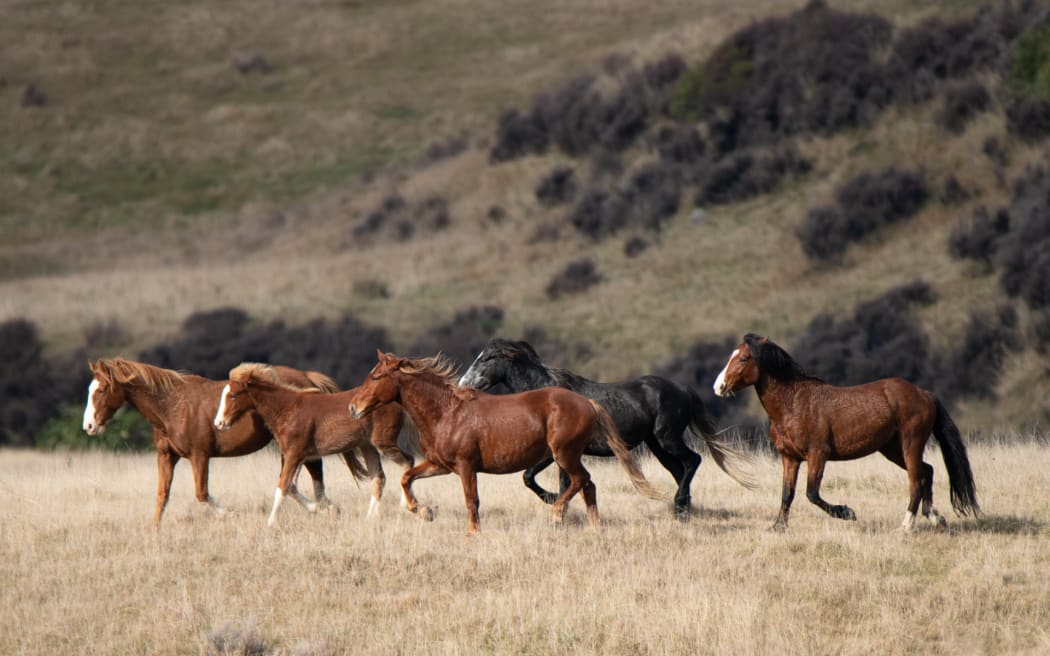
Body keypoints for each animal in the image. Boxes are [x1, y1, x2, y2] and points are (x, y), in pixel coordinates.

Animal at [82, 358, 340, 525]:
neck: (172, 406)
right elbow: (162, 496)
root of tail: (307, 377)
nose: (89, 426)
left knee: (305, 477)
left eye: (102, 390)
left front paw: (230, 515)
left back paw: (324, 508)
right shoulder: (166, 456)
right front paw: (154, 530)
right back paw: (325, 508)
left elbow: (201, 493)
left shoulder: (199, 456)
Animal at [213, 363, 414, 526]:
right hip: (368, 447)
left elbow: (282, 486)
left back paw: (406, 506)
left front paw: (271, 522)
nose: (219, 423)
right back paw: (371, 517)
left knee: (408, 461)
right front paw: (326, 509)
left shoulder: (294, 455)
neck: (288, 409)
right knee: (378, 477)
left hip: (383, 443)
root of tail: (397, 401)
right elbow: (291, 487)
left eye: (233, 395)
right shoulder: (301, 456)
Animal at [348, 351, 666, 534]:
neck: (447, 412)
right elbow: (406, 478)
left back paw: (556, 515)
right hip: (568, 456)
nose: (353, 408)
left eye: (376, 376)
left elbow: (471, 500)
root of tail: (587, 402)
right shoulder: (440, 464)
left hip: (565, 454)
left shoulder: (466, 466)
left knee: (580, 480)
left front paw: (473, 533)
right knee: (589, 486)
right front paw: (424, 512)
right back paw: (594, 528)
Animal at [457, 338, 755, 518]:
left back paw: (680, 504)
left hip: (667, 438)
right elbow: (551, 480)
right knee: (680, 470)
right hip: (657, 445)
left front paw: (554, 503)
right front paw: (560, 509)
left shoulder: (553, 452)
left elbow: (529, 477)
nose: (462, 384)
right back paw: (682, 510)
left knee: (693, 460)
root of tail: (682, 389)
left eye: (486, 359)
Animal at [713, 333, 980, 531]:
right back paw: (934, 517)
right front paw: (778, 526)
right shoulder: (790, 457)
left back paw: (906, 525)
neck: (795, 403)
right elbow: (787, 493)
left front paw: (847, 512)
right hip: (892, 449)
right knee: (927, 471)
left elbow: (811, 493)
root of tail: (925, 394)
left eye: (744, 358)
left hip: (910, 444)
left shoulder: (817, 454)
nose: (719, 387)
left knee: (916, 479)